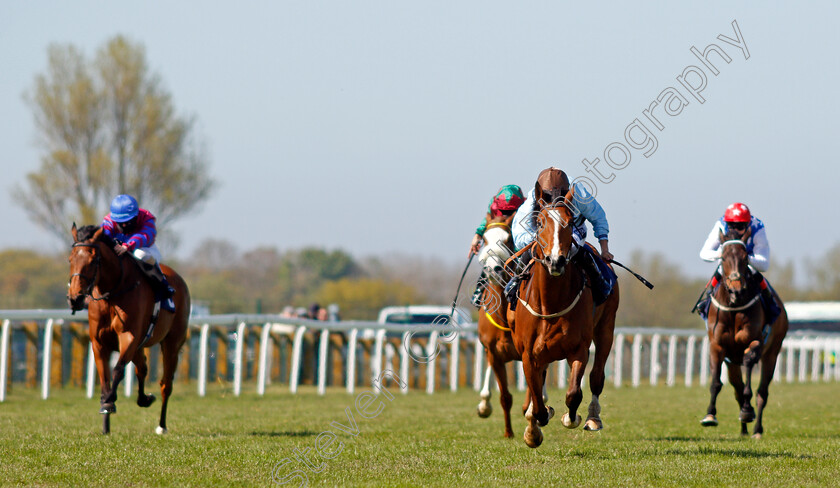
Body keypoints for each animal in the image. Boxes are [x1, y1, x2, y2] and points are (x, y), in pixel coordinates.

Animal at [67, 225, 190, 434]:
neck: (112, 294)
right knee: (142, 368)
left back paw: (162, 425)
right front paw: (105, 416)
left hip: (172, 343)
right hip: (140, 346)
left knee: (166, 384)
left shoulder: (128, 337)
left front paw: (109, 402)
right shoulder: (99, 342)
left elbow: (117, 370)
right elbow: (104, 375)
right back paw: (144, 399)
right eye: (70, 259)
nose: (75, 298)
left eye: (93, 261)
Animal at [508, 188, 620, 450]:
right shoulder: (528, 354)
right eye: (539, 223)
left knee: (596, 377)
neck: (551, 302)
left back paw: (592, 417)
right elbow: (537, 401)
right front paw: (533, 431)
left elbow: (573, 393)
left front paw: (572, 418)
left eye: (569, 223)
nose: (555, 260)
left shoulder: (579, 348)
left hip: (606, 329)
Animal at [704, 228, 788, 438]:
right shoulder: (717, 346)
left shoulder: (755, 341)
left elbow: (749, 366)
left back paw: (756, 429)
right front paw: (710, 415)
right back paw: (743, 430)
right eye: (723, 257)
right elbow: (717, 382)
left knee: (762, 392)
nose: (736, 290)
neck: (734, 307)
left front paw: (747, 411)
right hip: (732, 363)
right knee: (737, 387)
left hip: (772, 353)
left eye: (745, 257)